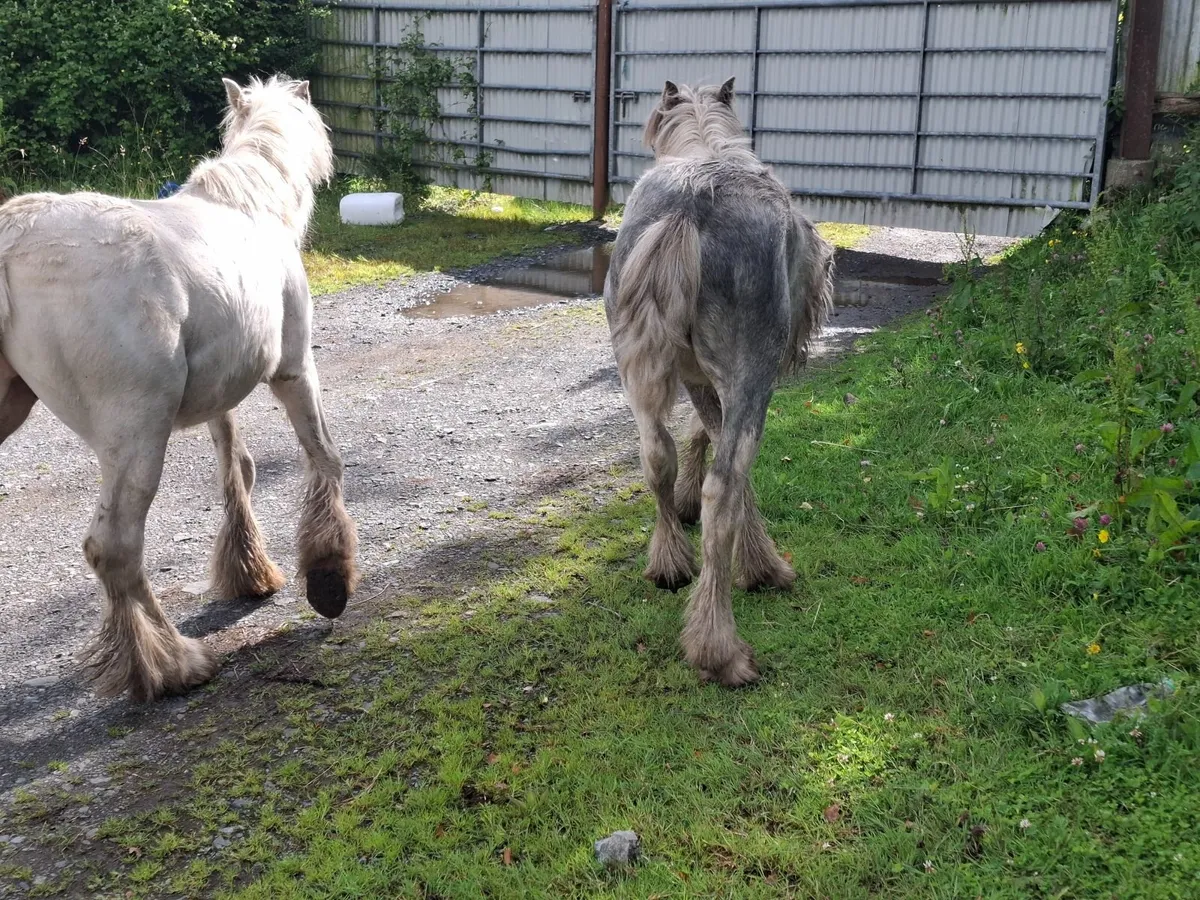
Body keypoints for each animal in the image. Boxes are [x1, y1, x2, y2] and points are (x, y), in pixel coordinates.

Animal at [0, 76, 358, 701]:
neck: (248, 205)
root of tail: (11, 241)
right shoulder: (293, 370)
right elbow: (323, 457)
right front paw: (328, 575)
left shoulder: (222, 393)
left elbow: (236, 469)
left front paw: (248, 571)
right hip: (137, 436)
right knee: (114, 549)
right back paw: (172, 663)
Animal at [603, 78, 834, 686]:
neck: (704, 140)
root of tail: (685, 211)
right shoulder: (733, 380)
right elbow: (722, 455)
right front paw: (764, 567)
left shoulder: (693, 378)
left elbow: (697, 432)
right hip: (754, 373)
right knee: (724, 486)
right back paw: (720, 649)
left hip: (636, 376)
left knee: (654, 455)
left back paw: (669, 564)